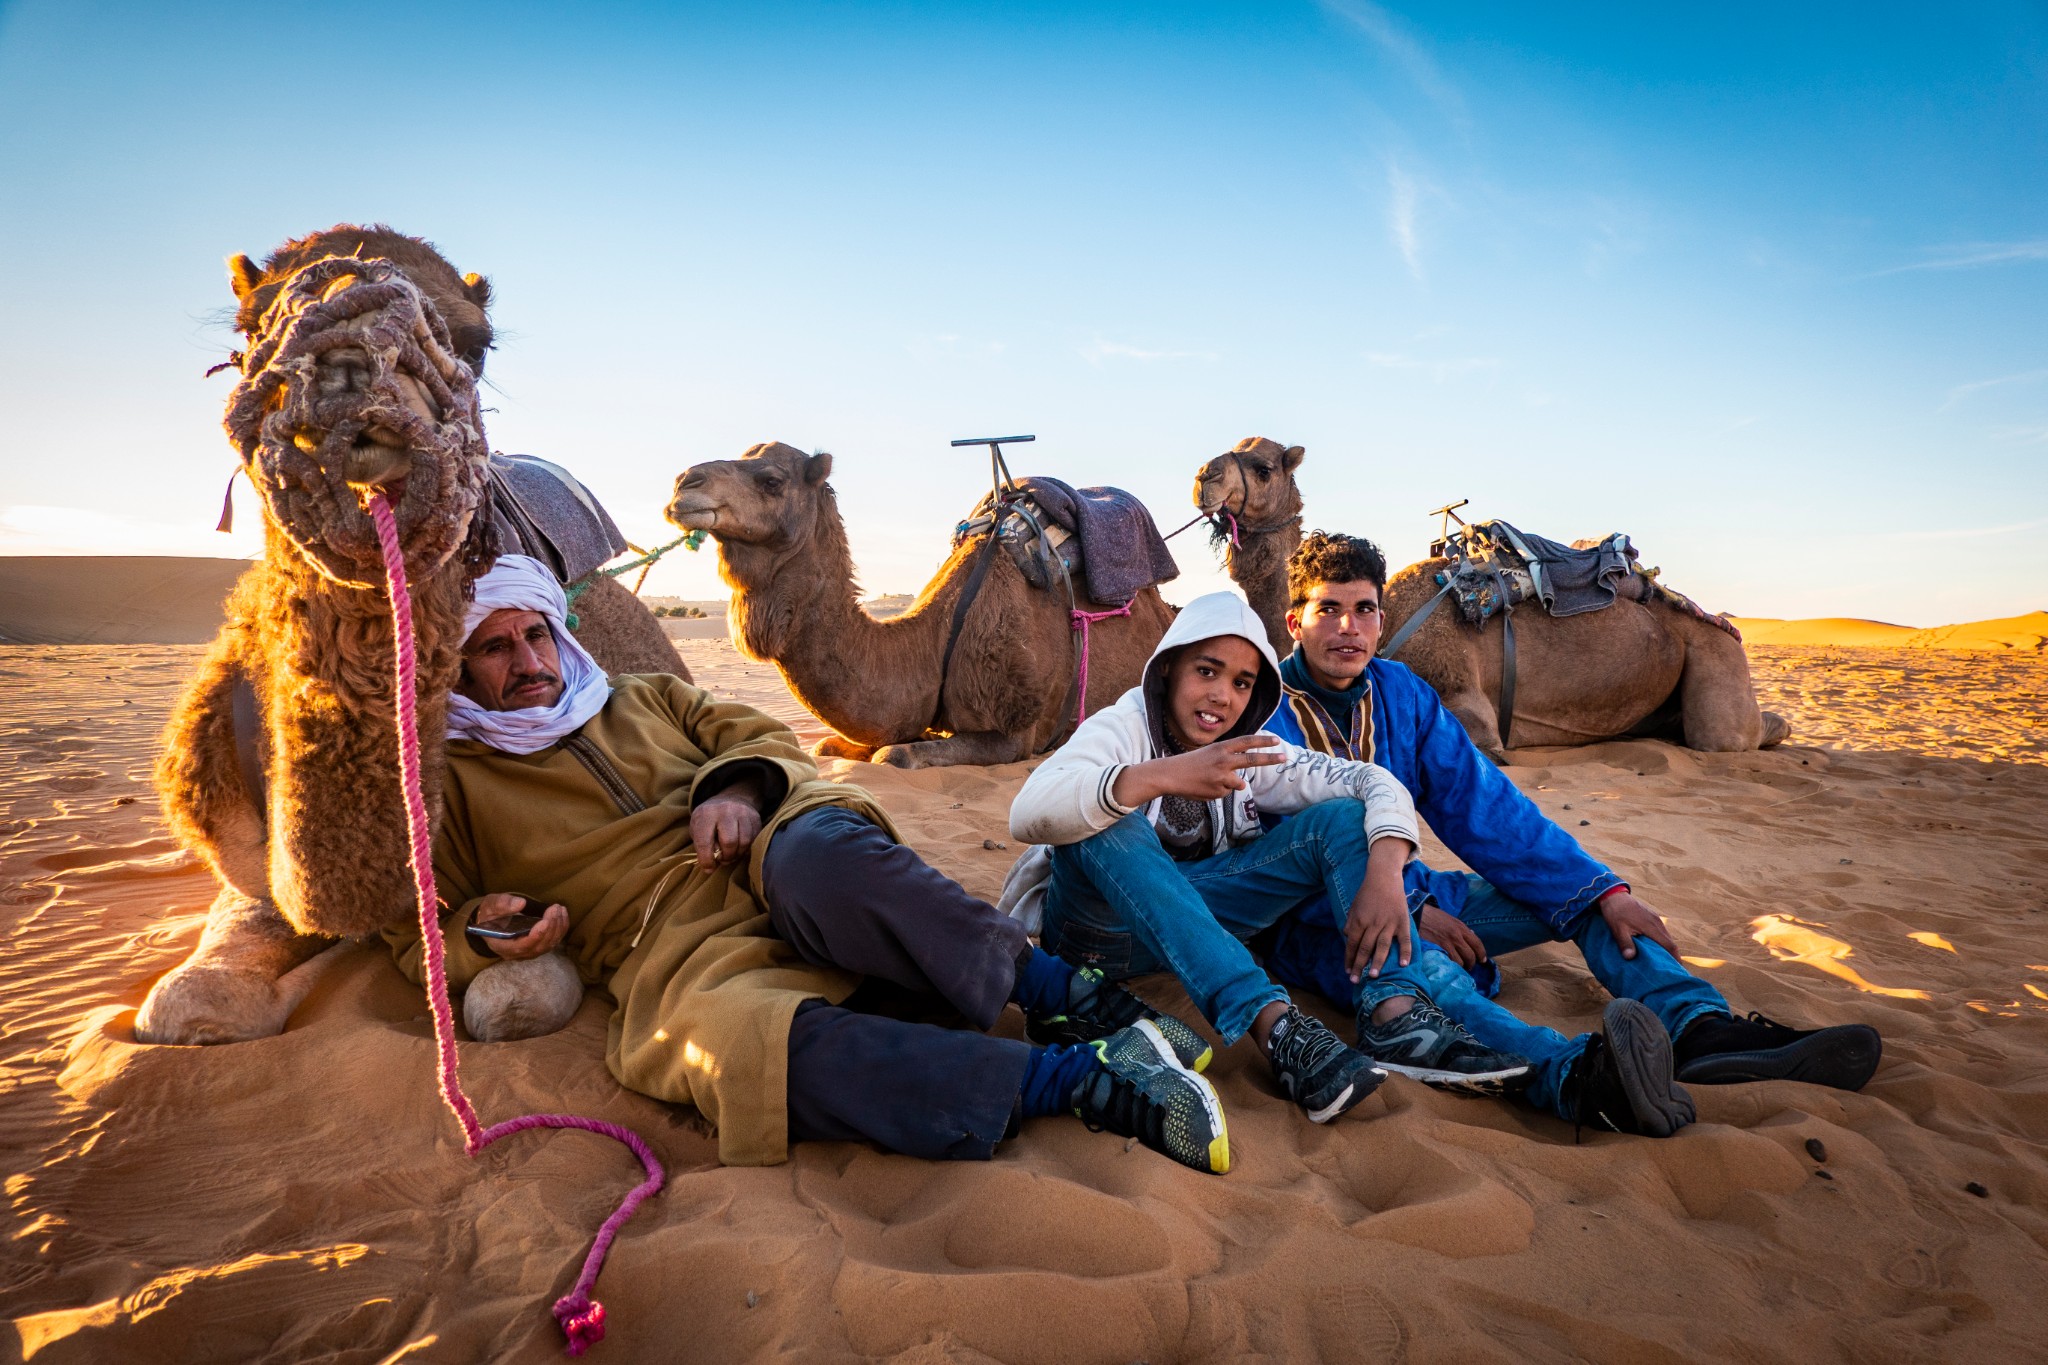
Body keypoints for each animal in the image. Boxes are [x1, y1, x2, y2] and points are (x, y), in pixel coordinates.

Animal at [138, 224, 679, 1047]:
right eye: (248, 335)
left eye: (479, 343)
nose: (351, 363)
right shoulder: (247, 866)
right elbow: (189, 1000)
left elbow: (510, 996)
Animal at [671, 446, 1179, 769]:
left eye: (772, 480)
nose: (683, 483)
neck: (932, 642)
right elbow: (830, 748)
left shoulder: (1019, 734)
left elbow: (893, 754)